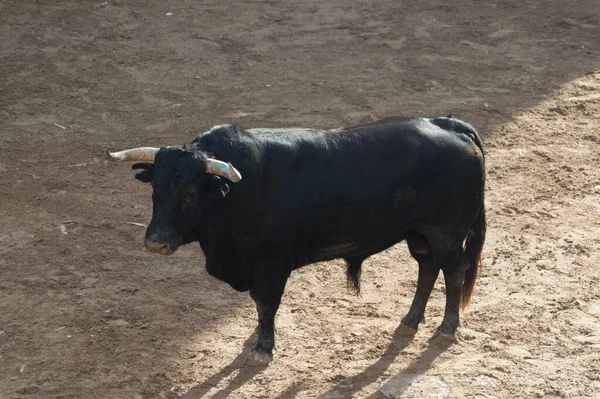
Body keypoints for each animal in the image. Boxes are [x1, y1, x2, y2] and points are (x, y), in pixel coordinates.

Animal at [108, 116, 486, 366]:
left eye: (189, 194)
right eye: (156, 188)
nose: (156, 242)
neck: (239, 192)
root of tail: (448, 124)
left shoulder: (272, 266)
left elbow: (266, 305)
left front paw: (263, 348)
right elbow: (259, 305)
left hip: (446, 233)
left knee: (454, 271)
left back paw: (447, 327)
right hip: (419, 234)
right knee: (428, 268)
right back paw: (410, 320)